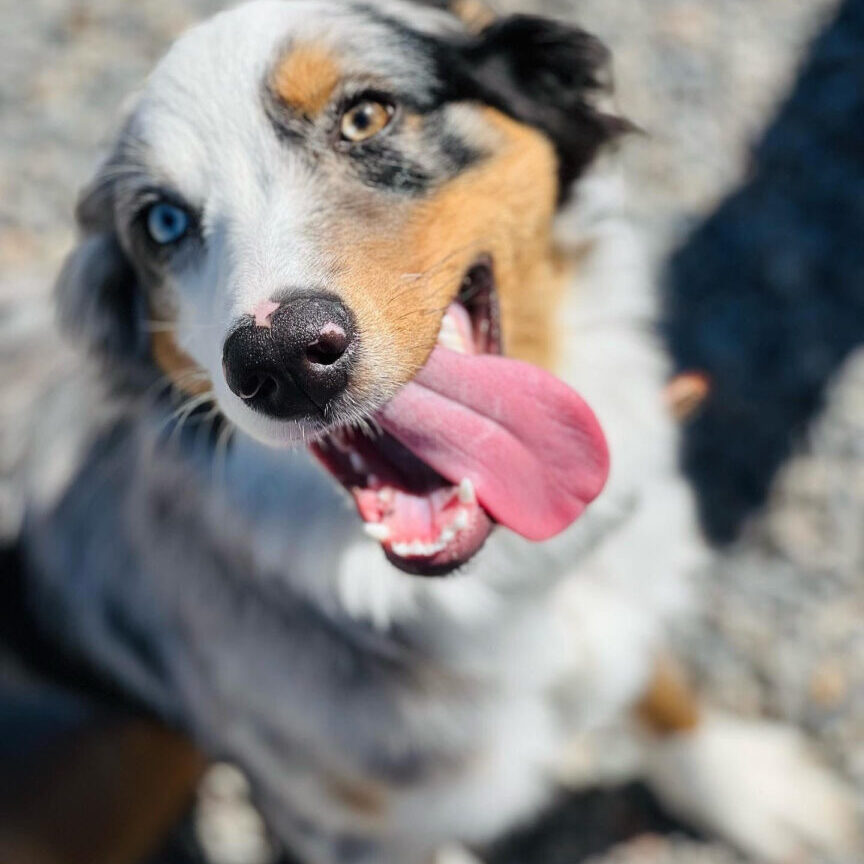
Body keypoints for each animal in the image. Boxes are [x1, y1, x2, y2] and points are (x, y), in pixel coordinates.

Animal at [8, 1, 864, 864]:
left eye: (366, 115)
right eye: (163, 222)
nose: (280, 355)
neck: (502, 587)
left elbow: (656, 681)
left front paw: (748, 785)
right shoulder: (338, 824)